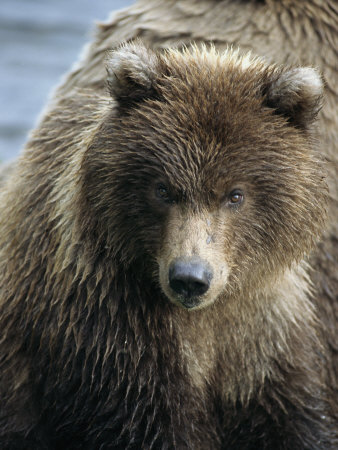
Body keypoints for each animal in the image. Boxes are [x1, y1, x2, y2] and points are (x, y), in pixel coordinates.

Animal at [0, 44, 336, 450]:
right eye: (163, 189)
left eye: (235, 194)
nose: (190, 278)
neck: (206, 320)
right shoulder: (109, 327)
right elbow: (148, 421)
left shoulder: (263, 335)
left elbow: (292, 415)